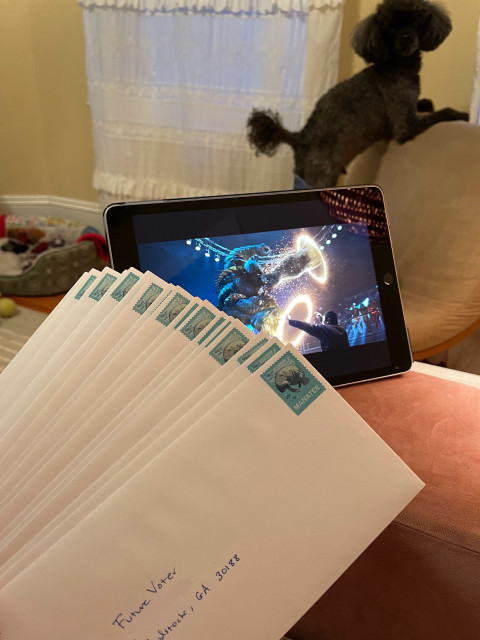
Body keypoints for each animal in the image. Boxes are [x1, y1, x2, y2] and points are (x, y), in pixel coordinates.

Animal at [248, 0, 468, 189]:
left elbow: (425, 103)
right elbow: (441, 113)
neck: (396, 64)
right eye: (391, 28)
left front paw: (427, 103)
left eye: (416, 22)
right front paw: (462, 114)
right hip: (321, 174)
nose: (406, 39)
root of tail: (299, 138)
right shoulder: (405, 124)